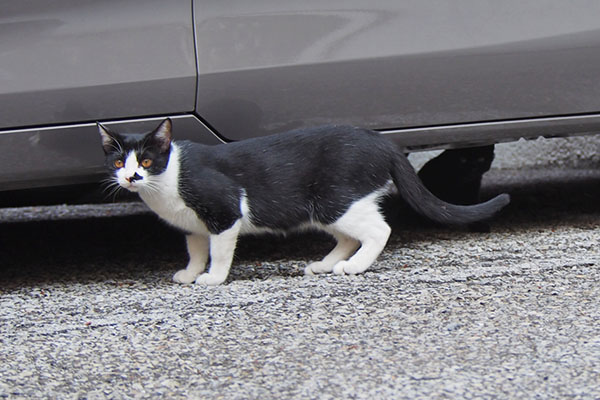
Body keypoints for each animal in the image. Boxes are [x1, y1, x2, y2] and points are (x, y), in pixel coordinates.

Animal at [98, 119, 510, 284]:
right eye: (118, 162)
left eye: (146, 161)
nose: (131, 177)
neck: (166, 185)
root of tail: (383, 142)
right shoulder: (194, 226)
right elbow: (196, 248)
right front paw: (189, 272)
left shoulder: (225, 211)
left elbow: (219, 250)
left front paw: (212, 278)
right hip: (328, 207)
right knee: (349, 236)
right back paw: (325, 264)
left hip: (335, 200)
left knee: (379, 230)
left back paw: (353, 267)